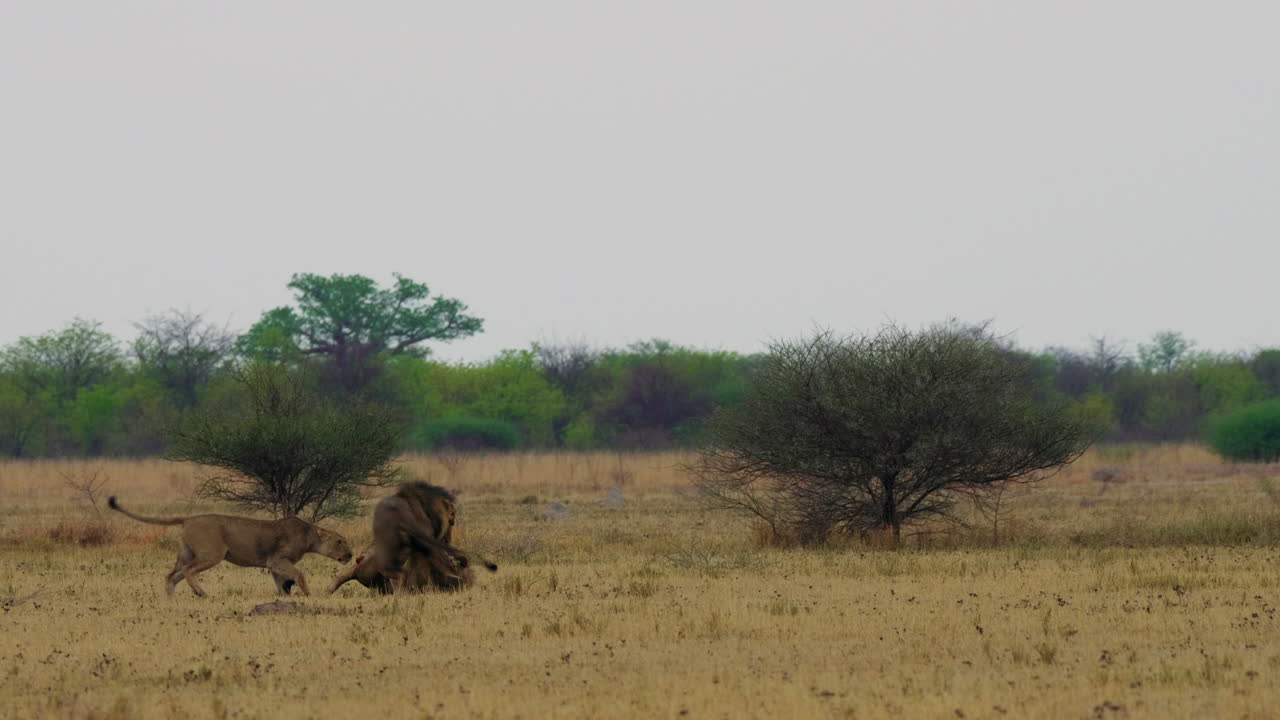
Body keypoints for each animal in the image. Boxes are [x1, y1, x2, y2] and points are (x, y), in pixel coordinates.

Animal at [108, 496, 353, 597]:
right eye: (340, 541)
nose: (350, 555)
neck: (310, 535)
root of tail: (189, 518)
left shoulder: (274, 564)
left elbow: (281, 583)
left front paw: (286, 597)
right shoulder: (278, 560)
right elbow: (299, 575)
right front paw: (309, 595)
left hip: (186, 554)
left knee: (171, 576)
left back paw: (171, 600)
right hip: (212, 554)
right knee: (187, 571)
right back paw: (201, 593)